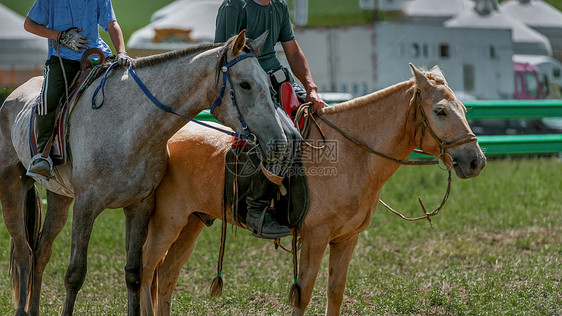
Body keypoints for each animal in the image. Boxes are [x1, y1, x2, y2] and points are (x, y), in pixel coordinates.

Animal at [0, 32, 288, 316]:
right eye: (245, 84)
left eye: (269, 82)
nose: (279, 141)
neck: (127, 127)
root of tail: (12, 96)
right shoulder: (86, 207)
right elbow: (75, 274)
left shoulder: (140, 206)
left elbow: (134, 274)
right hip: (12, 188)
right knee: (24, 252)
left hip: (59, 197)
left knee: (41, 252)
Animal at [138, 63, 484, 314]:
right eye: (440, 111)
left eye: (464, 109)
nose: (475, 161)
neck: (350, 153)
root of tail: (167, 139)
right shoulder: (316, 238)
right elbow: (302, 296)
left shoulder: (346, 239)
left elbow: (335, 292)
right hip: (167, 223)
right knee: (145, 272)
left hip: (192, 223)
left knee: (165, 278)